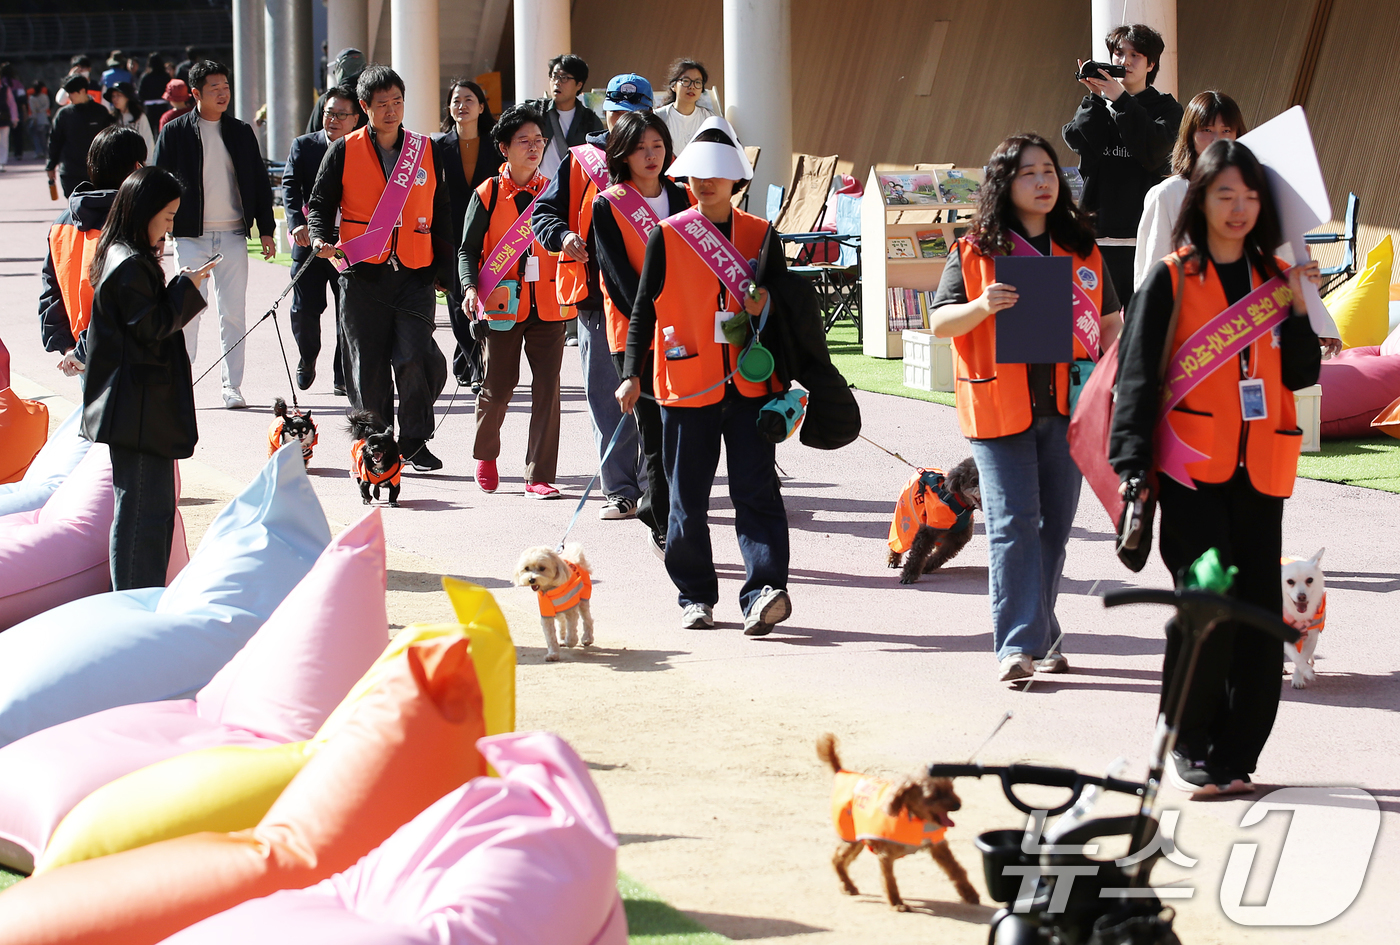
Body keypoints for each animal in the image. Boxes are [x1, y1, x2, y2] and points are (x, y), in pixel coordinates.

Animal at [817, 733, 980, 907]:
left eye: (951, 789)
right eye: (934, 796)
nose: (958, 805)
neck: (914, 817)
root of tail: (841, 771)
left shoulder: (938, 847)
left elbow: (956, 870)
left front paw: (969, 894)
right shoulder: (885, 856)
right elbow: (889, 880)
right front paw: (896, 903)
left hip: (857, 841)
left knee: (842, 860)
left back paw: (846, 885)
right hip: (850, 838)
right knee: (837, 860)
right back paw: (847, 885)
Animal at [1282, 546, 1321, 688]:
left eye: (1310, 580)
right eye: (1290, 582)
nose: (1302, 596)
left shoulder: (1312, 638)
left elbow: (1303, 656)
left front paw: (1299, 678)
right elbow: (1296, 656)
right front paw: (1306, 671)